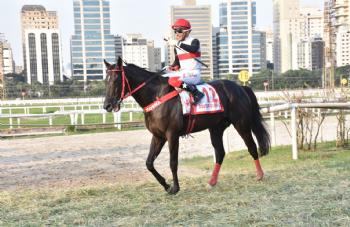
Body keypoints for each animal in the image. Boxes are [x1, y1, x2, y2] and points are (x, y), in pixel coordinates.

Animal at [103, 57, 270, 195]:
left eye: (116, 80)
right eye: (105, 81)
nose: (107, 106)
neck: (157, 94)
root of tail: (240, 87)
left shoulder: (172, 134)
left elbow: (173, 163)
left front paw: (175, 188)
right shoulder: (158, 135)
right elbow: (149, 163)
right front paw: (166, 185)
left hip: (242, 124)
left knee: (252, 147)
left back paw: (260, 175)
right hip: (216, 128)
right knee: (220, 153)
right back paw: (211, 183)